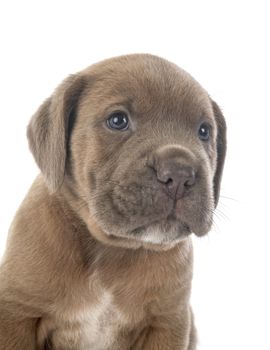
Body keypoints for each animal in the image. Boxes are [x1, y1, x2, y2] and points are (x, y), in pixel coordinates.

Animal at [0, 53, 226, 348]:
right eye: (118, 121)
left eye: (204, 131)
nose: (180, 174)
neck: (111, 249)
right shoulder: (17, 313)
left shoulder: (167, 322)